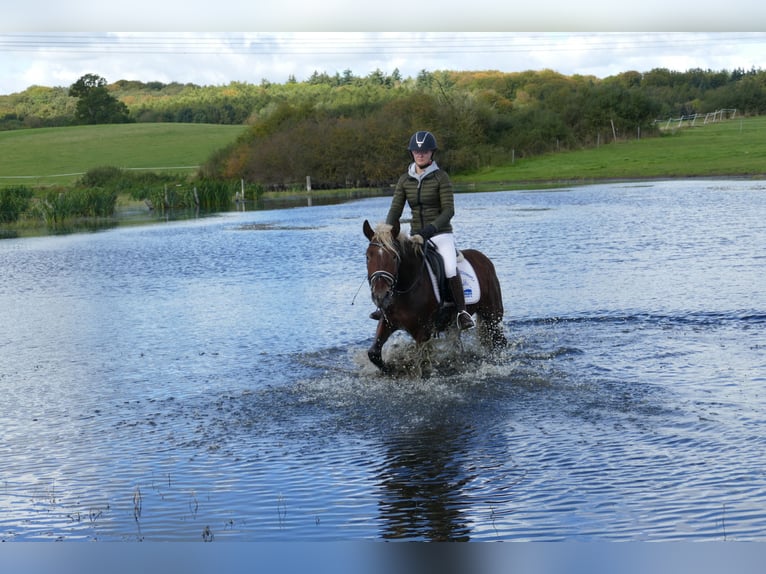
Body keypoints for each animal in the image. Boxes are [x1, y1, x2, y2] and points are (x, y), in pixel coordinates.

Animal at [364, 219, 508, 374]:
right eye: (368, 256)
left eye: (394, 256)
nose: (380, 296)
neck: (407, 288)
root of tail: (484, 259)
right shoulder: (387, 321)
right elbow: (373, 353)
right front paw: (390, 369)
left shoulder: (423, 332)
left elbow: (421, 363)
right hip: (454, 324)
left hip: (492, 315)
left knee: (499, 341)